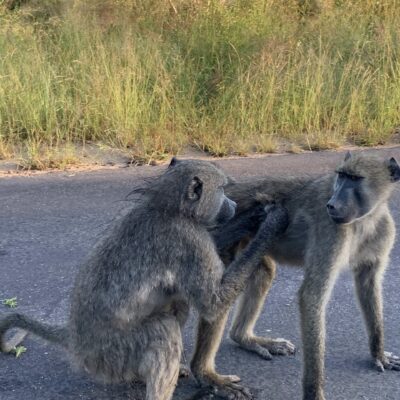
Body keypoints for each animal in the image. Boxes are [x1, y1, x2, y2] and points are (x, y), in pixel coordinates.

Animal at [0, 158, 288, 400]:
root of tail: (75, 338)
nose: (235, 206)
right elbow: (213, 303)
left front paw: (254, 217)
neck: (168, 207)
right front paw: (270, 220)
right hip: (112, 354)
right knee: (165, 328)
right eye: (223, 190)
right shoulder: (189, 239)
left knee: (177, 305)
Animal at [190, 153, 400, 400]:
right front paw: (314, 392)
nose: (332, 204)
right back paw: (205, 374)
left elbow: (369, 285)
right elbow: (311, 297)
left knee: (263, 272)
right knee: (217, 296)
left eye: (355, 179)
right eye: (341, 176)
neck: (365, 220)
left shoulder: (382, 231)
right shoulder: (331, 232)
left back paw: (244, 338)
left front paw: (379, 355)